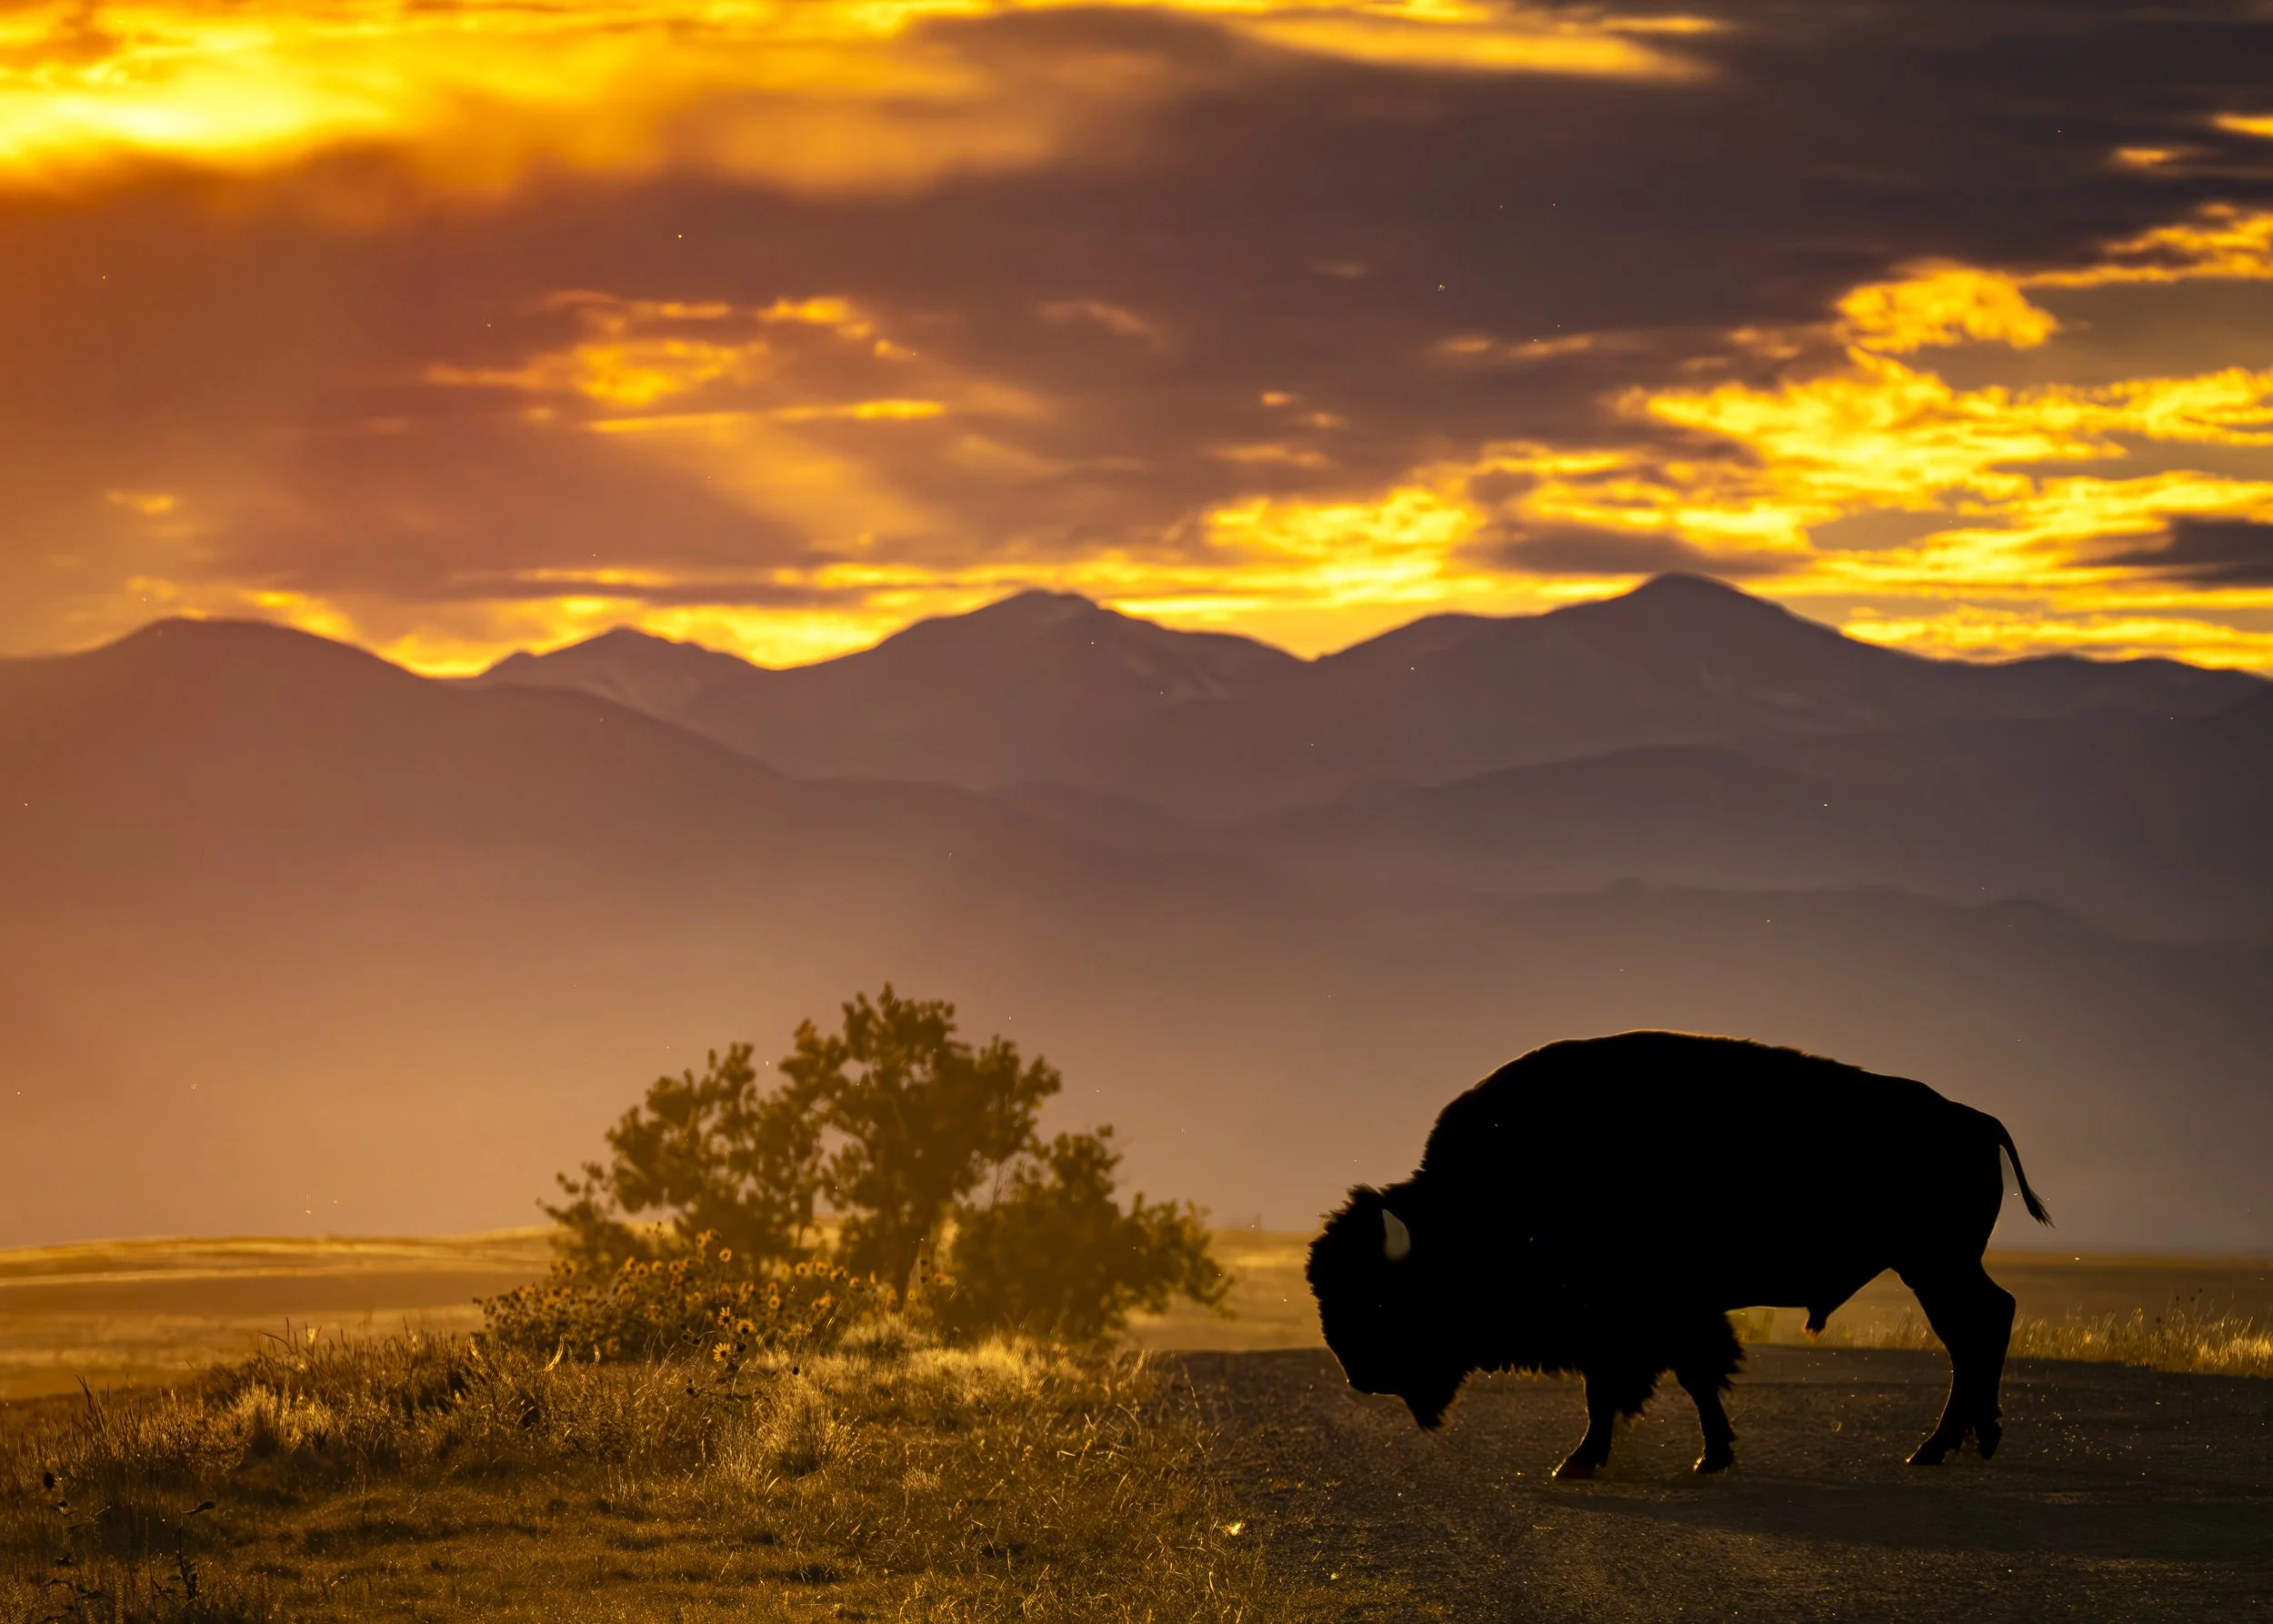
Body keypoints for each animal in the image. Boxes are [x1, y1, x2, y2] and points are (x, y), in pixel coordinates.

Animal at [1307, 1031, 2051, 1477]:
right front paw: (1704, 1454)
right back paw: (1963, 1442)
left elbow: (1629, 1383)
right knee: (1980, 1328)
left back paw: (1941, 1446)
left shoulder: (1631, 1315)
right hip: (1936, 1267)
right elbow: (1679, 1378)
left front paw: (1587, 1461)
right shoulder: (1654, 1316)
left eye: (1381, 1298)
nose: (1360, 1376)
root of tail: (1975, 1120)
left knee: (1978, 1330)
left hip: (1934, 1265)